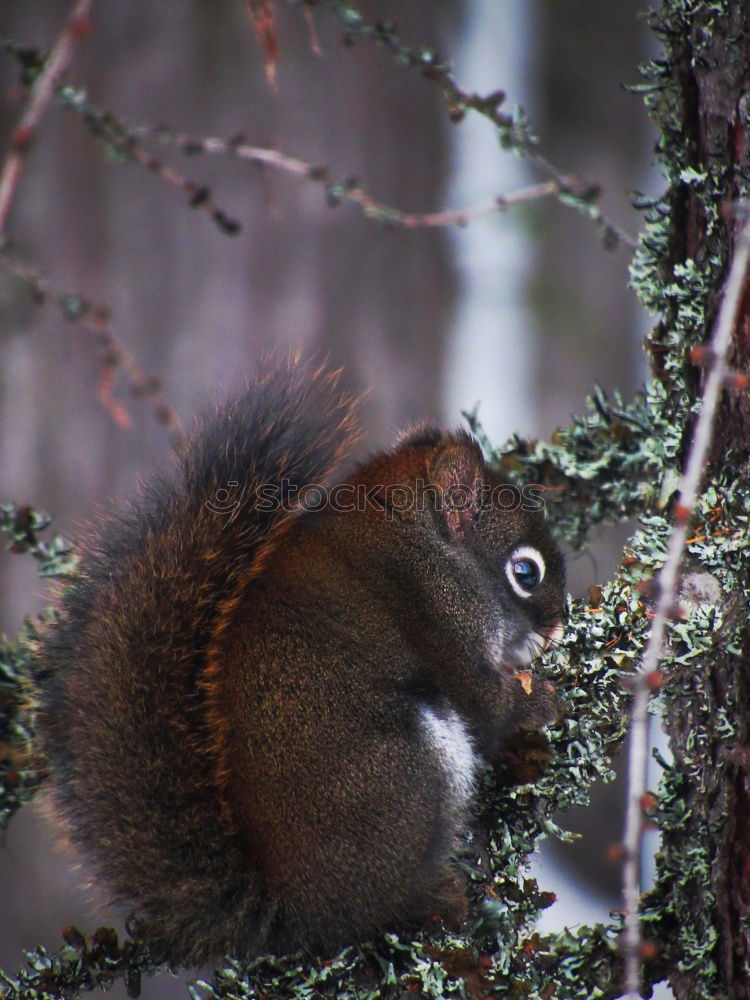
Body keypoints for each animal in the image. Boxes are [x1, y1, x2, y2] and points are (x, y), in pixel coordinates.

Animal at [35, 364, 564, 964]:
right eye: (526, 572)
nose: (557, 625)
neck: (419, 539)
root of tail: (292, 908)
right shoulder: (440, 622)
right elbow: (486, 703)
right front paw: (544, 699)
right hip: (403, 773)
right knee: (375, 907)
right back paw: (431, 898)